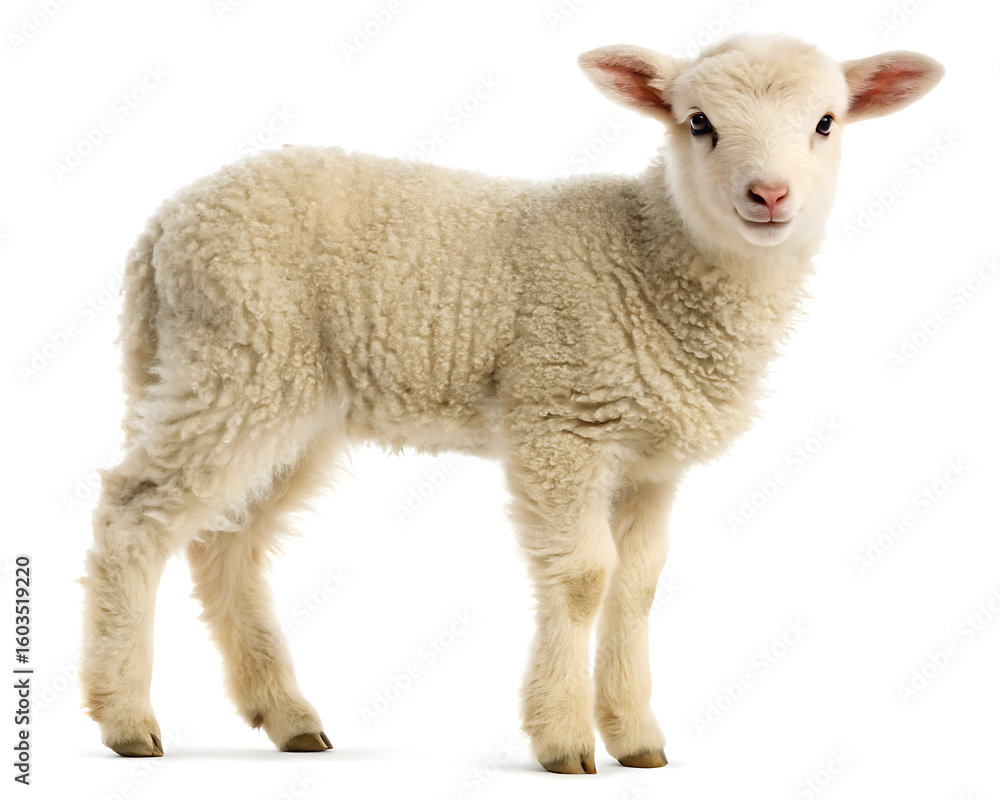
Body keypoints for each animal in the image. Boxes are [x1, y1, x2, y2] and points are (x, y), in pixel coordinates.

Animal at [78, 33, 943, 773]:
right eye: (698, 122)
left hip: (287, 399)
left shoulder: (650, 461)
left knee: (227, 543)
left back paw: (287, 716)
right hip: (237, 360)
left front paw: (636, 739)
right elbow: (586, 577)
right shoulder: (560, 417)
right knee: (136, 512)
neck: (651, 256)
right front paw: (563, 740)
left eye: (826, 122)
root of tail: (163, 227)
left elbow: (638, 586)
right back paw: (125, 719)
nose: (768, 194)